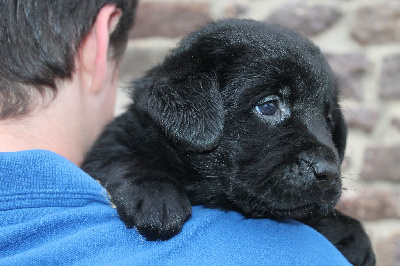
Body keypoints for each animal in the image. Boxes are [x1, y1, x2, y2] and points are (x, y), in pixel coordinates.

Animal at [82, 19, 376, 266]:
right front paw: (156, 195)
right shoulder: (114, 141)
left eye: (328, 119)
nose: (329, 173)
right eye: (268, 106)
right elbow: (123, 158)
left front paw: (349, 231)